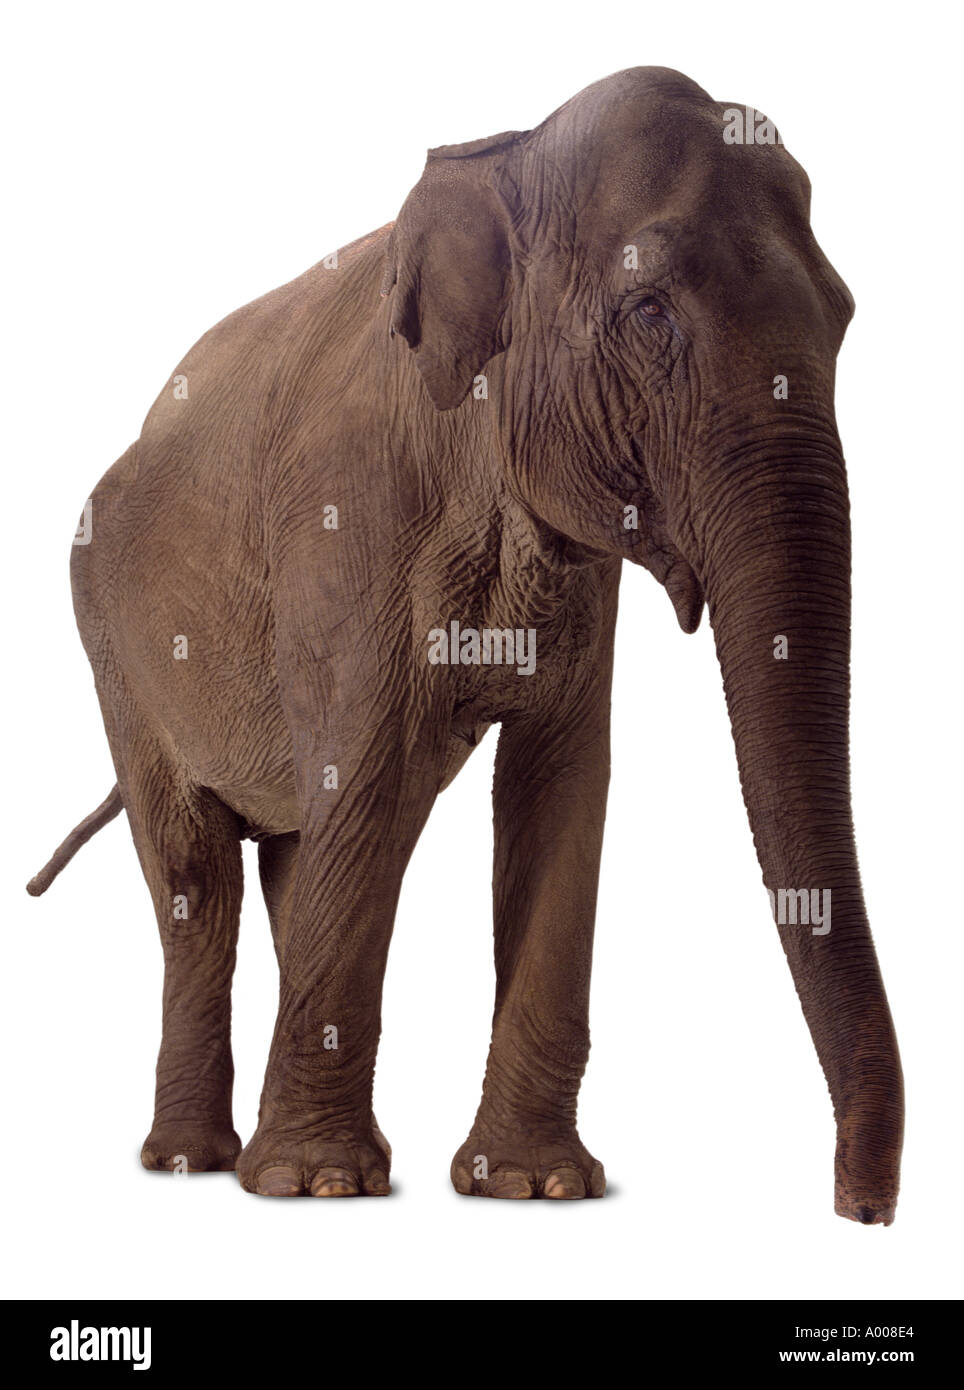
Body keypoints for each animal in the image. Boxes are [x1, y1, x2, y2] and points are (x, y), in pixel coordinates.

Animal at [29, 65, 903, 1219]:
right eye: (649, 311)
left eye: (844, 316)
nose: (864, 1210)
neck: (511, 157)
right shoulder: (346, 522)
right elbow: (365, 778)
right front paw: (316, 1186)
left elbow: (560, 785)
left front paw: (533, 1185)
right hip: (115, 649)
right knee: (198, 876)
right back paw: (197, 1162)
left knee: (293, 855)